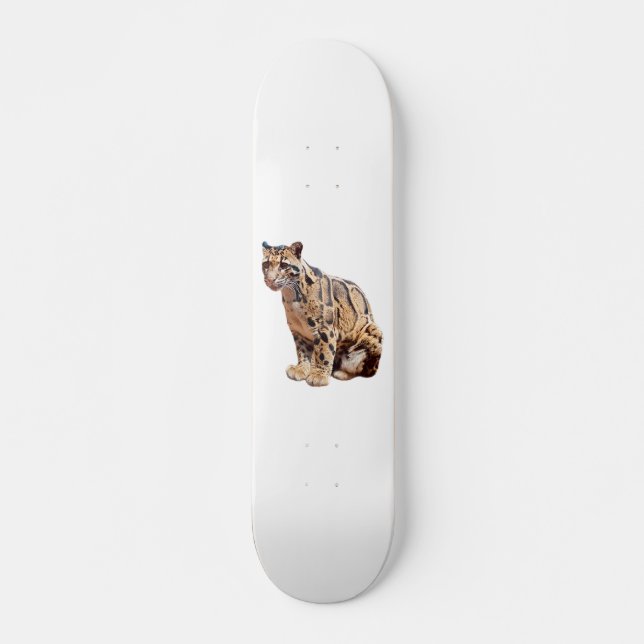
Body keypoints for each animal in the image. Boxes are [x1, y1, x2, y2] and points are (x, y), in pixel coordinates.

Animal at [262, 240, 383, 387]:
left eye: (284, 265)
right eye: (266, 264)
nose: (270, 280)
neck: (291, 295)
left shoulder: (324, 328)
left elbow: (324, 351)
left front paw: (319, 375)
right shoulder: (298, 331)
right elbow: (302, 351)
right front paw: (301, 368)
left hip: (373, 332)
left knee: (366, 370)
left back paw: (342, 373)